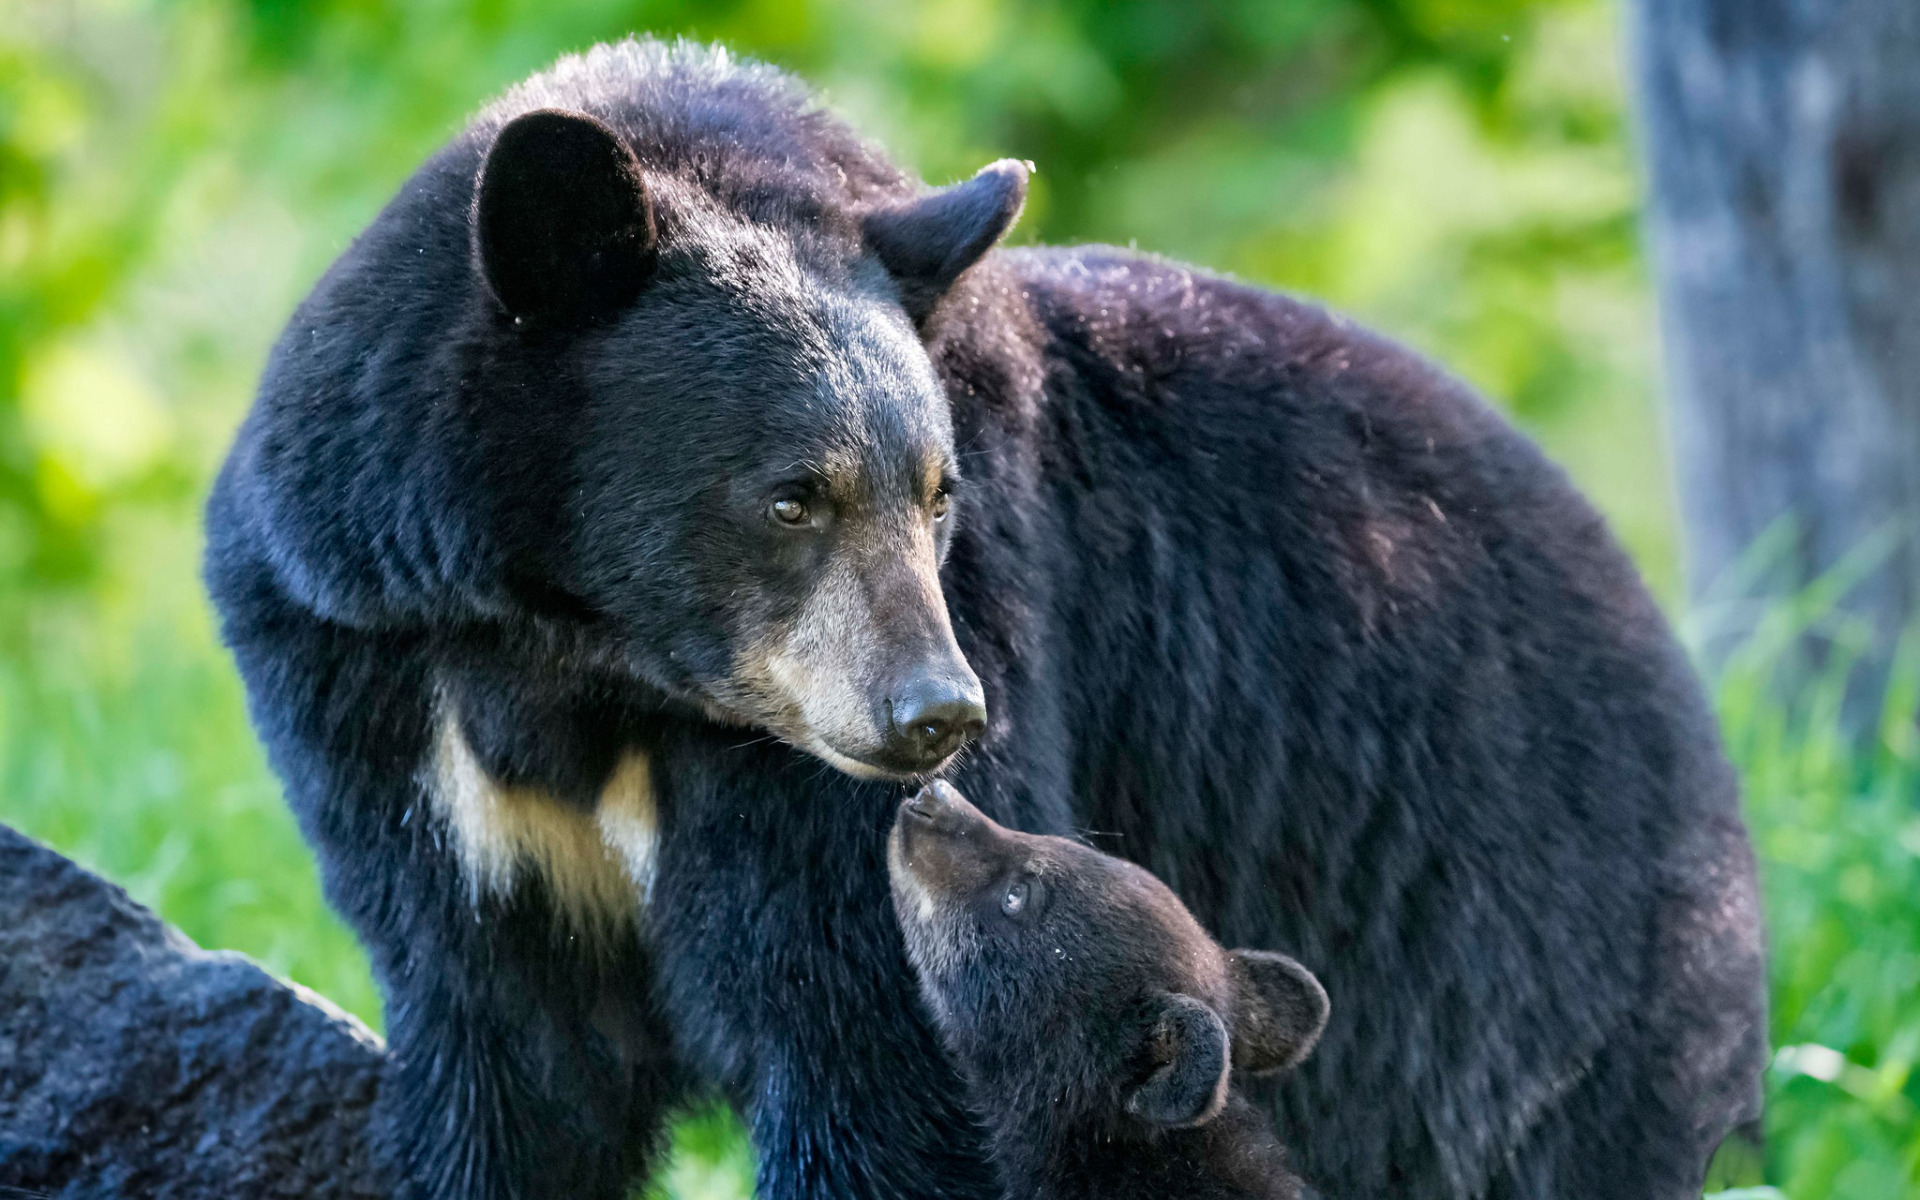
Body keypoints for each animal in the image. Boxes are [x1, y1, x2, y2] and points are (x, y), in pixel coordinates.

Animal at [202, 35, 1758, 1198]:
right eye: (791, 496)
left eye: (936, 490)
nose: (937, 716)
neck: (587, 663)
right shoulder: (378, 689)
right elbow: (505, 1052)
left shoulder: (915, 691)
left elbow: (871, 1041)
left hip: (1524, 970)